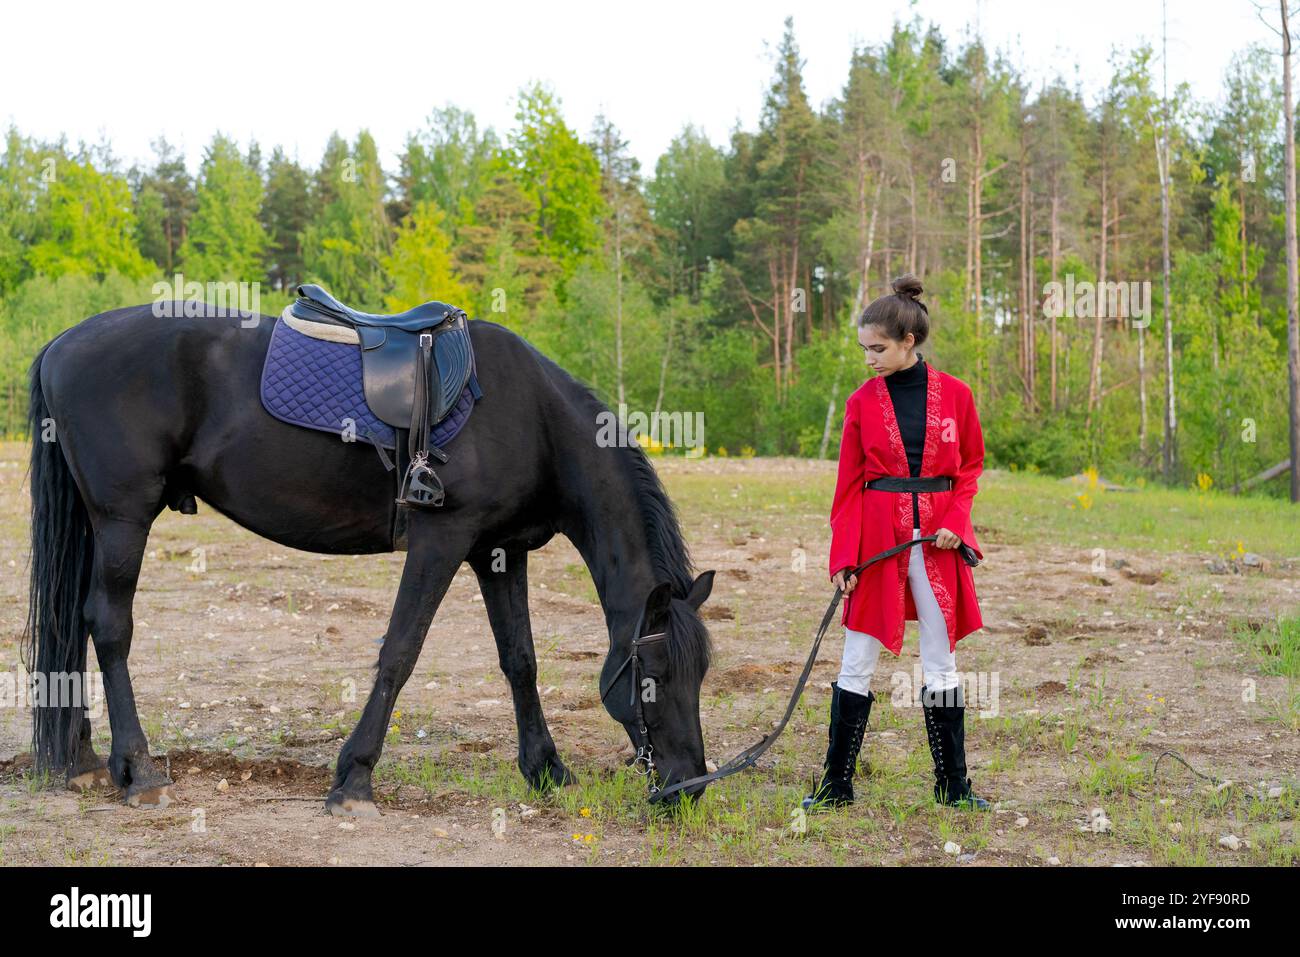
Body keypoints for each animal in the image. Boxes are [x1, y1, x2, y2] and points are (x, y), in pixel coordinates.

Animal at [25, 300, 717, 816]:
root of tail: (61, 342)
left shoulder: (499, 551)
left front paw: (546, 769)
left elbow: (520, 660)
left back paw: (85, 760)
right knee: (109, 627)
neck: (534, 418)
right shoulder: (442, 539)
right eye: (655, 675)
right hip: (124, 519)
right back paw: (139, 771)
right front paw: (354, 778)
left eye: (702, 673)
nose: (688, 787)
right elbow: (400, 651)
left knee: (78, 625)